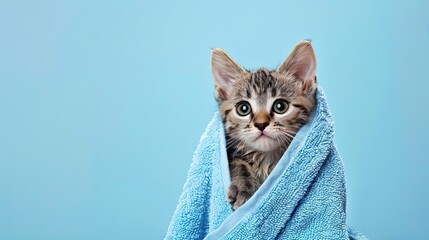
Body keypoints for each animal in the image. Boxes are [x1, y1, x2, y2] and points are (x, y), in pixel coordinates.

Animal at [209, 40, 316, 209]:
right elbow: (238, 162)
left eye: (280, 106)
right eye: (243, 108)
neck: (266, 159)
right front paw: (243, 186)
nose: (261, 124)